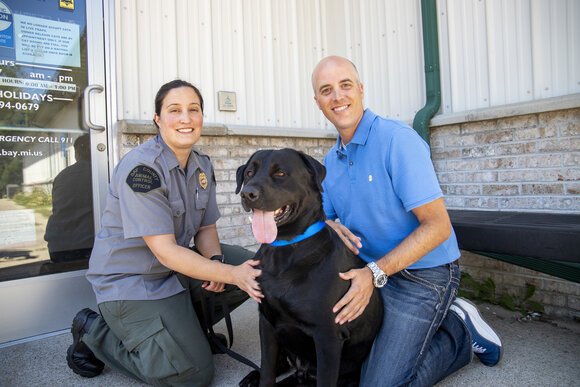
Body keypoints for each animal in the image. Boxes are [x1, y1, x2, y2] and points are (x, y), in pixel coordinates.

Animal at [233, 147, 382, 386]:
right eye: (249, 173)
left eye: (280, 173)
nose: (247, 194)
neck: (285, 247)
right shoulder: (266, 321)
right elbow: (267, 371)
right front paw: (260, 376)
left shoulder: (327, 337)